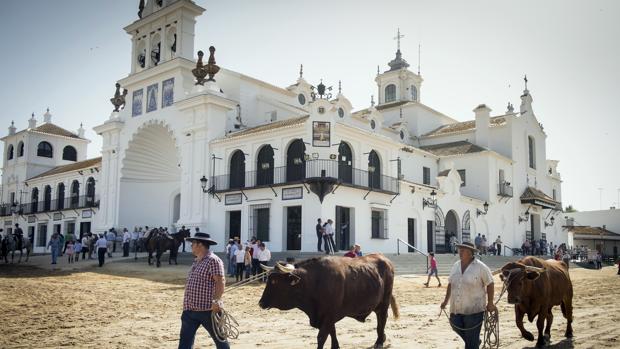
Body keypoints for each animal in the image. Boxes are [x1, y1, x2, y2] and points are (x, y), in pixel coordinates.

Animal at [258, 253, 400, 348]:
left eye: (274, 281)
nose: (261, 303)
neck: (315, 281)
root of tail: (384, 259)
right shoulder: (328, 315)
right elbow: (332, 331)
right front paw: (335, 346)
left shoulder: (329, 314)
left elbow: (322, 336)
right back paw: (382, 338)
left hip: (384, 302)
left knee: (382, 319)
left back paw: (379, 342)